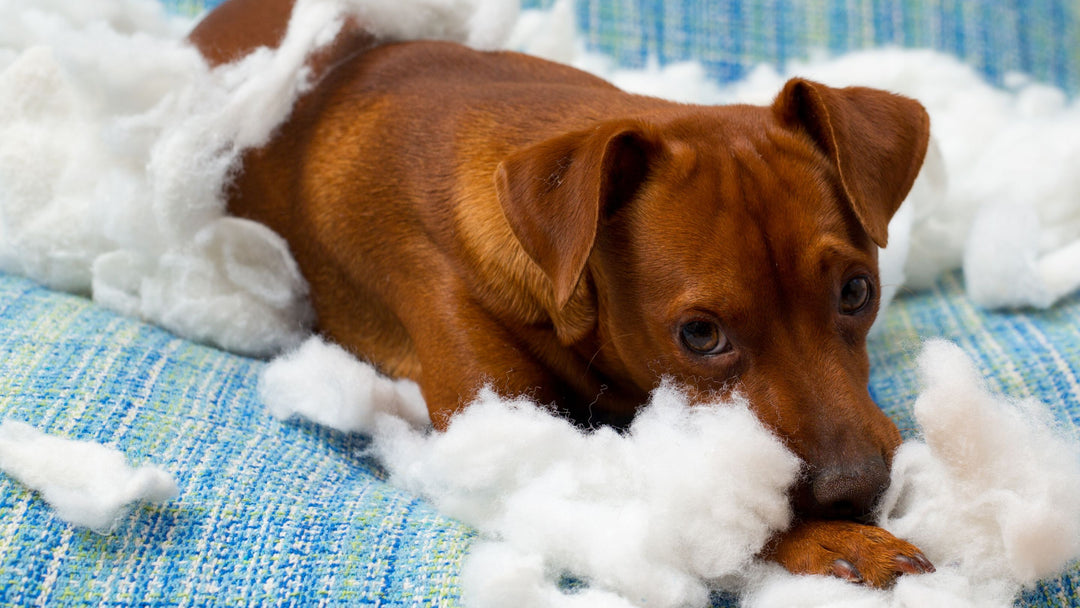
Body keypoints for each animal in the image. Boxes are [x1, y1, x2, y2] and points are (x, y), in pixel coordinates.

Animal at [194, 0, 937, 591]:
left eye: (857, 291)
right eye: (700, 335)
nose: (857, 492)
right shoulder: (501, 420)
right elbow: (710, 502)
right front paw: (842, 542)